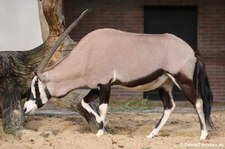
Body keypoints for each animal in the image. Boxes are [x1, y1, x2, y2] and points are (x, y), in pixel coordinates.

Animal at [23, 9, 214, 140]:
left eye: (36, 86)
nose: (25, 108)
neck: (88, 52)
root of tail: (192, 51)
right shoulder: (96, 87)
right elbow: (83, 102)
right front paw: (102, 125)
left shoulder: (105, 84)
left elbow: (102, 107)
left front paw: (100, 131)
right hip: (164, 84)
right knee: (169, 106)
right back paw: (152, 134)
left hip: (183, 80)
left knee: (198, 101)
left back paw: (203, 134)